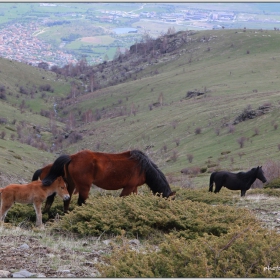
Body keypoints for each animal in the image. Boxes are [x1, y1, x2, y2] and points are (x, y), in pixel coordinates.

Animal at [31, 149, 175, 212]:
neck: (143, 167)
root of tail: (72, 157)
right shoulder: (128, 187)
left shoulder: (134, 188)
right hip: (84, 186)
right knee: (81, 202)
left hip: (70, 185)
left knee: (67, 200)